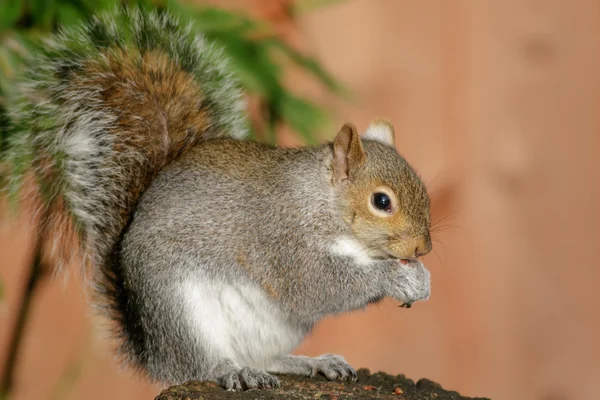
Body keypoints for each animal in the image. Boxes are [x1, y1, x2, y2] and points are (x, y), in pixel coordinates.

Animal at [3, 7, 432, 392]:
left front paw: (421, 279)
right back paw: (233, 371)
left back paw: (311, 363)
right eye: (381, 202)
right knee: (202, 365)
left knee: (266, 358)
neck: (324, 204)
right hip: (181, 310)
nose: (422, 249)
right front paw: (394, 278)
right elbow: (317, 285)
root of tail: (156, 352)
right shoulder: (283, 240)